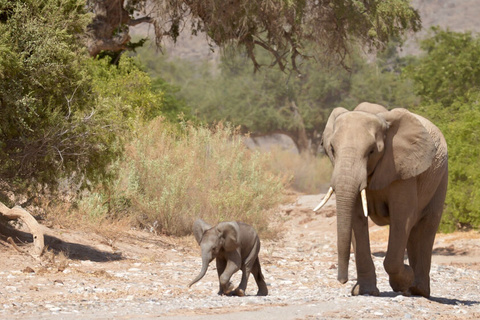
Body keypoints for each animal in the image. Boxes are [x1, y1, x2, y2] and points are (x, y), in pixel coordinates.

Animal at [316, 102, 446, 298]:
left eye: (371, 151)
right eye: (331, 149)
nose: (342, 280)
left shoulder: (402, 168)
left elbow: (403, 216)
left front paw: (404, 280)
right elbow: (357, 217)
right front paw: (364, 291)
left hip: (441, 177)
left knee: (427, 226)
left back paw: (418, 290)